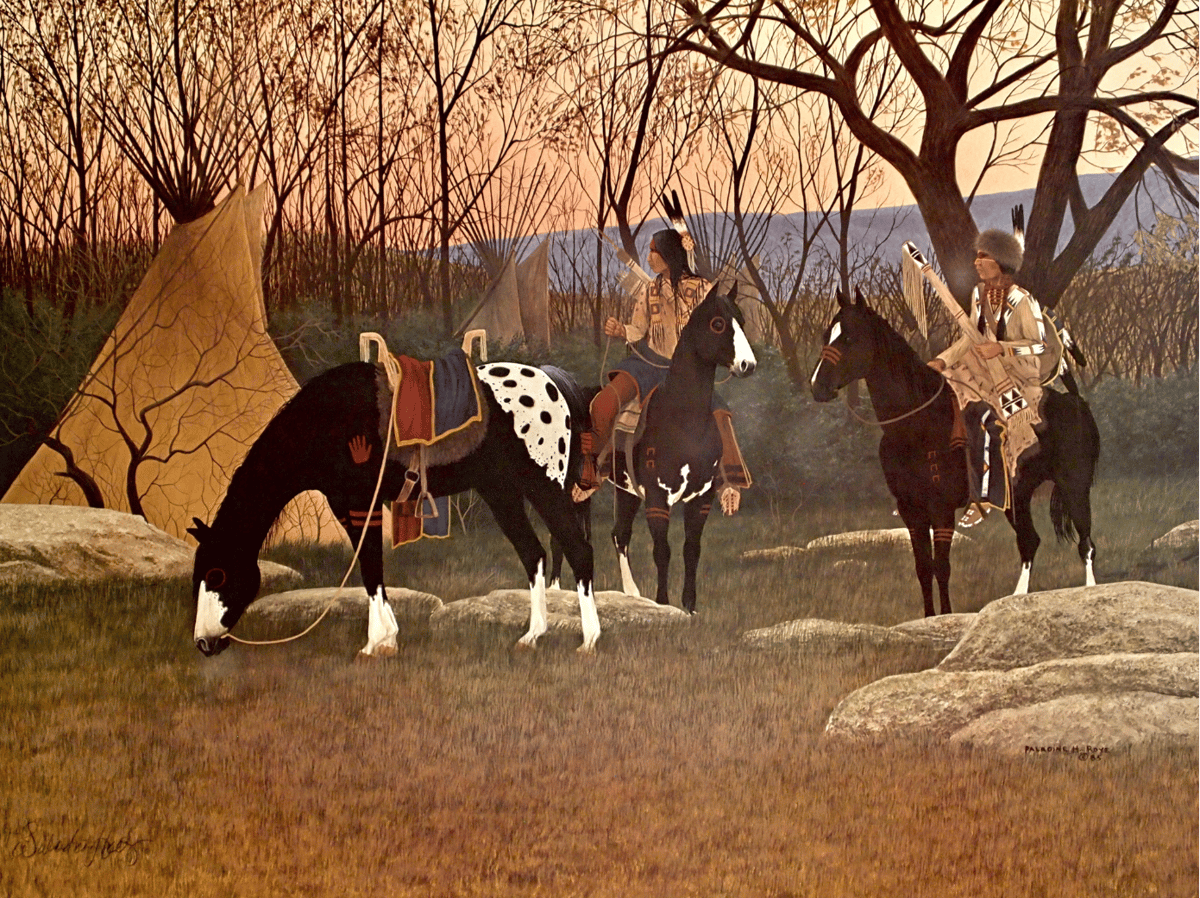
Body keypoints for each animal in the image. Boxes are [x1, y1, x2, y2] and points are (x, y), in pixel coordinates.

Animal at [191, 357, 599, 657]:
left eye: (217, 575)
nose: (204, 644)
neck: (328, 421)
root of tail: (549, 380)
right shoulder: (349, 506)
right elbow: (372, 570)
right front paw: (388, 637)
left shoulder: (357, 504)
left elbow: (370, 568)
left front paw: (375, 643)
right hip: (501, 491)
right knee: (534, 554)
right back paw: (532, 636)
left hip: (542, 485)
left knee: (578, 549)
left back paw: (589, 641)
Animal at [608, 283, 757, 613]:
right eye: (718, 323)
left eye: (741, 320)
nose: (748, 365)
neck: (683, 423)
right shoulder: (657, 498)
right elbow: (662, 551)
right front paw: (664, 604)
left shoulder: (701, 499)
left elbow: (692, 550)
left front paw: (690, 605)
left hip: (626, 490)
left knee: (620, 534)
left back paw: (630, 593)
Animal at [809, 288, 1099, 616]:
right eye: (826, 335)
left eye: (849, 338)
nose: (817, 386)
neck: (918, 424)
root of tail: (1076, 402)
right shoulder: (912, 511)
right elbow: (923, 568)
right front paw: (928, 618)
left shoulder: (941, 510)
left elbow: (941, 567)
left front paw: (946, 616)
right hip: (1018, 497)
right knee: (1029, 542)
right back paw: (1016, 600)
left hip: (1075, 486)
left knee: (1086, 544)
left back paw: (1090, 594)